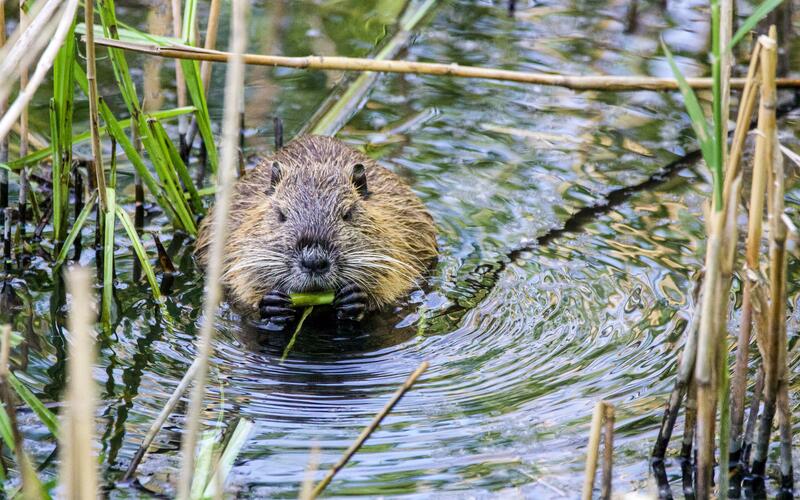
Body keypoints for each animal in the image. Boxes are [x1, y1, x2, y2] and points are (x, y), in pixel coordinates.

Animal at [198, 135, 440, 330]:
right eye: (281, 214)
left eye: (348, 213)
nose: (314, 261)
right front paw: (272, 303)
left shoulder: (400, 229)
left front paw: (355, 298)